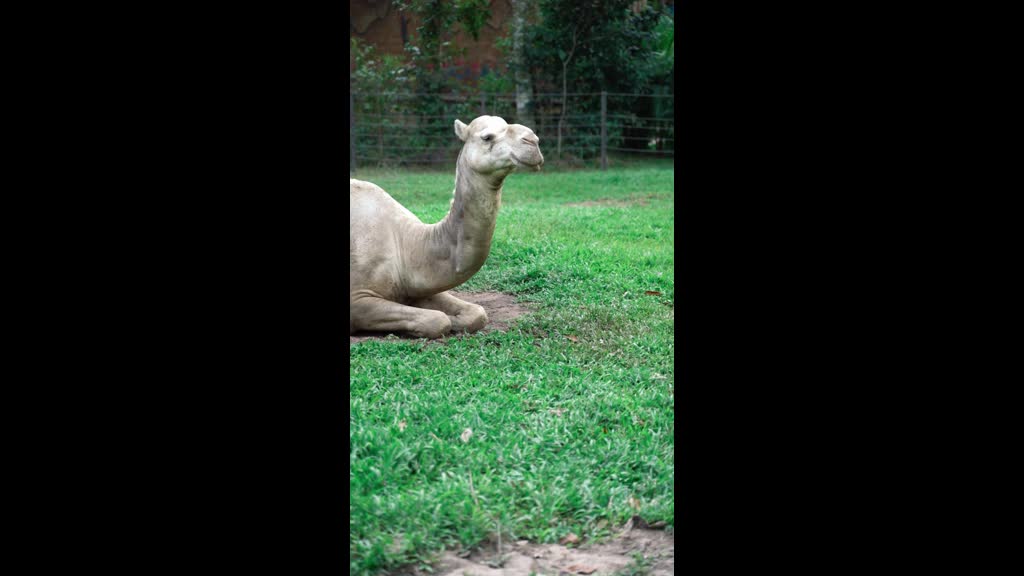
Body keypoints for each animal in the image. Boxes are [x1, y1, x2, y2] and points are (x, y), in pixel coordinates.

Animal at [350, 114, 544, 336]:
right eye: (487, 137)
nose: (533, 141)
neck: (406, 244)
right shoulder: (357, 298)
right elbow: (437, 320)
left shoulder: (414, 289)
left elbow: (477, 312)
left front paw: (456, 321)